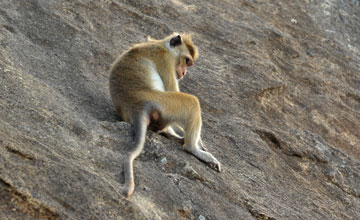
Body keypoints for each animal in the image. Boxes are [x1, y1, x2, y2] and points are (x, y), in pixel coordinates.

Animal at [109, 33, 221, 199]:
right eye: (186, 61)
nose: (184, 73)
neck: (163, 45)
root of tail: (136, 106)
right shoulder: (166, 60)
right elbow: (172, 89)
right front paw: (201, 145)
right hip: (163, 103)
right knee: (192, 102)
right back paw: (192, 148)